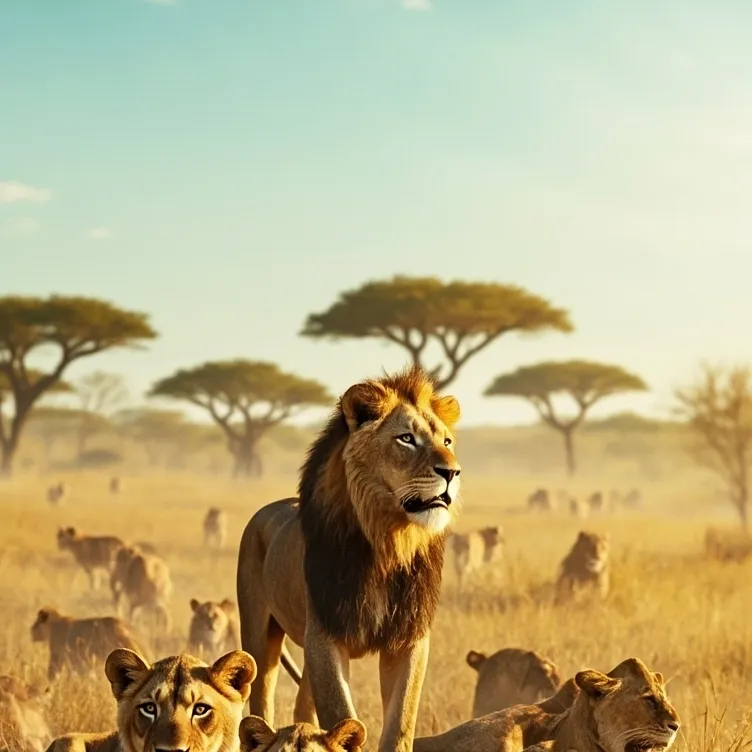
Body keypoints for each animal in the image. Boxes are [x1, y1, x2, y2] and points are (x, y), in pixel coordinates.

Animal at [237, 365, 462, 752]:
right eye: (406, 439)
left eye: (446, 442)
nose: (452, 472)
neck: (388, 543)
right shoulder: (325, 635)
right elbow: (341, 712)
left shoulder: (409, 637)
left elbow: (400, 721)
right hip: (258, 633)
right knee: (261, 700)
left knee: (303, 705)